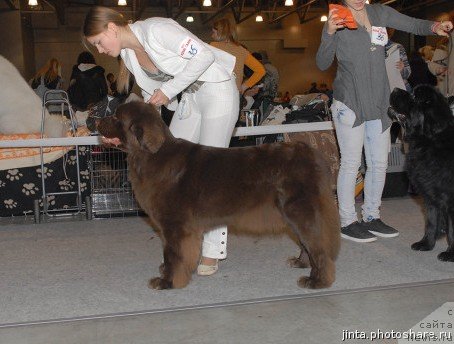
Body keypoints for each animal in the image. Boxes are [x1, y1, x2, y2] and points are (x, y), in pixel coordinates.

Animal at [98, 102, 340, 290]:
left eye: (116, 117)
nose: (96, 121)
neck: (149, 156)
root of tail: (312, 154)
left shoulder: (175, 224)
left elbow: (174, 253)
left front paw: (167, 281)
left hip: (300, 209)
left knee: (318, 244)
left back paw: (317, 280)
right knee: (308, 242)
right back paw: (301, 263)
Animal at [390, 84, 454, 260]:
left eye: (413, 96)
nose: (395, 88)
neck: (429, 141)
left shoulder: (449, 199)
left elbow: (452, 230)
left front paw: (450, 254)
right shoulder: (430, 195)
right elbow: (430, 221)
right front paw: (426, 244)